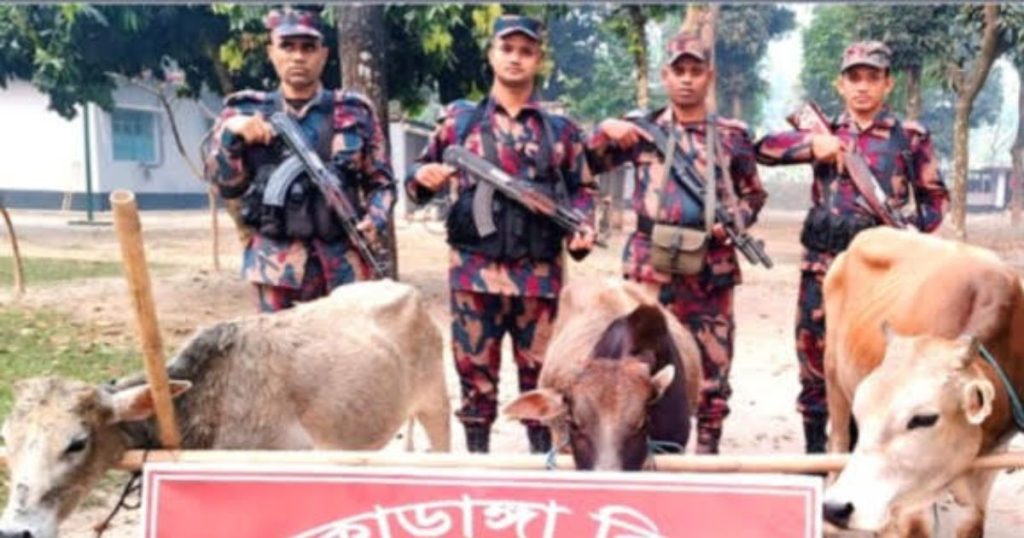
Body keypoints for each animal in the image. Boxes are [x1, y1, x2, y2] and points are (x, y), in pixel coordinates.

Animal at [820, 226, 1024, 537]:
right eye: (861, 411)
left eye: (924, 418)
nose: (836, 507)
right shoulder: (912, 504)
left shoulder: (986, 474)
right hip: (833, 381)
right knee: (837, 444)